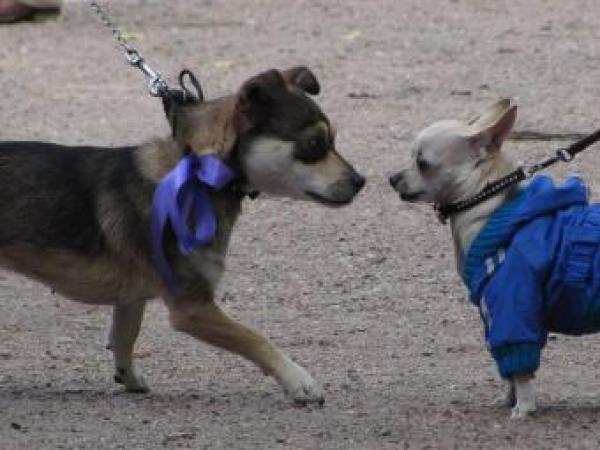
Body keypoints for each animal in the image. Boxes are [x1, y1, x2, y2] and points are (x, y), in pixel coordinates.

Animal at [0, 66, 366, 404]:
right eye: (314, 144)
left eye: (333, 139)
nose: (360, 181)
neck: (199, 173)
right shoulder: (192, 307)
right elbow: (254, 337)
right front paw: (298, 380)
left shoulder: (131, 298)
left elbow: (124, 338)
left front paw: (129, 377)